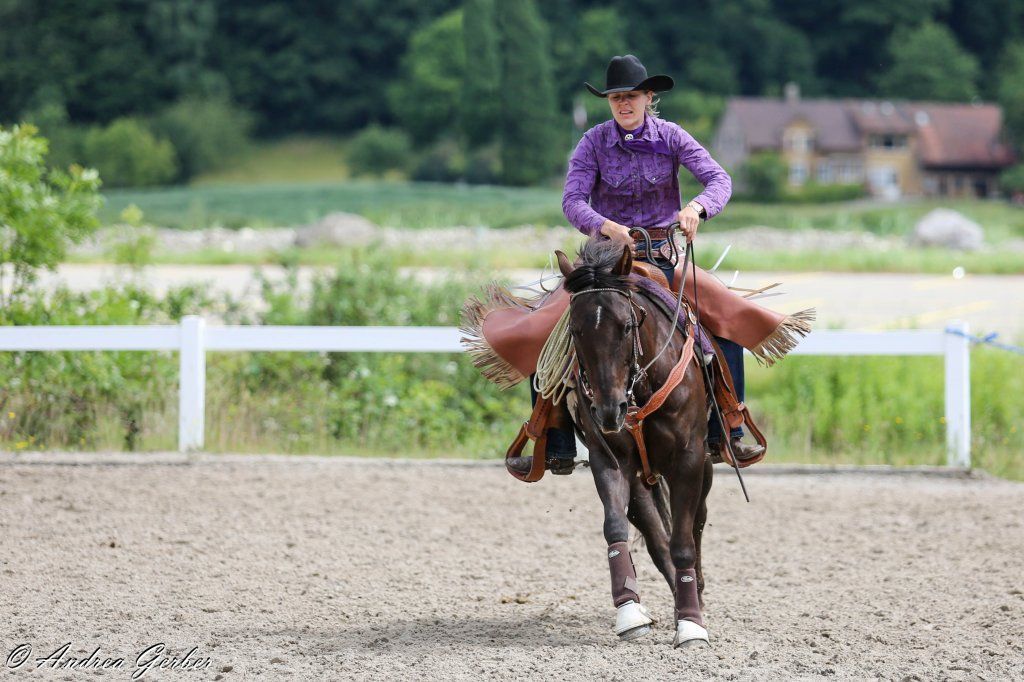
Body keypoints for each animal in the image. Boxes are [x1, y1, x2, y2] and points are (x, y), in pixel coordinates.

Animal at [556, 238, 714, 648]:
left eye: (627, 326)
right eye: (575, 330)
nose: (610, 410)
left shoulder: (689, 461)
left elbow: (684, 541)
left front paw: (691, 625)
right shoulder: (607, 458)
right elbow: (615, 528)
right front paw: (629, 612)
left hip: (704, 467)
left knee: (696, 525)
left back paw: (694, 594)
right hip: (641, 480)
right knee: (656, 536)